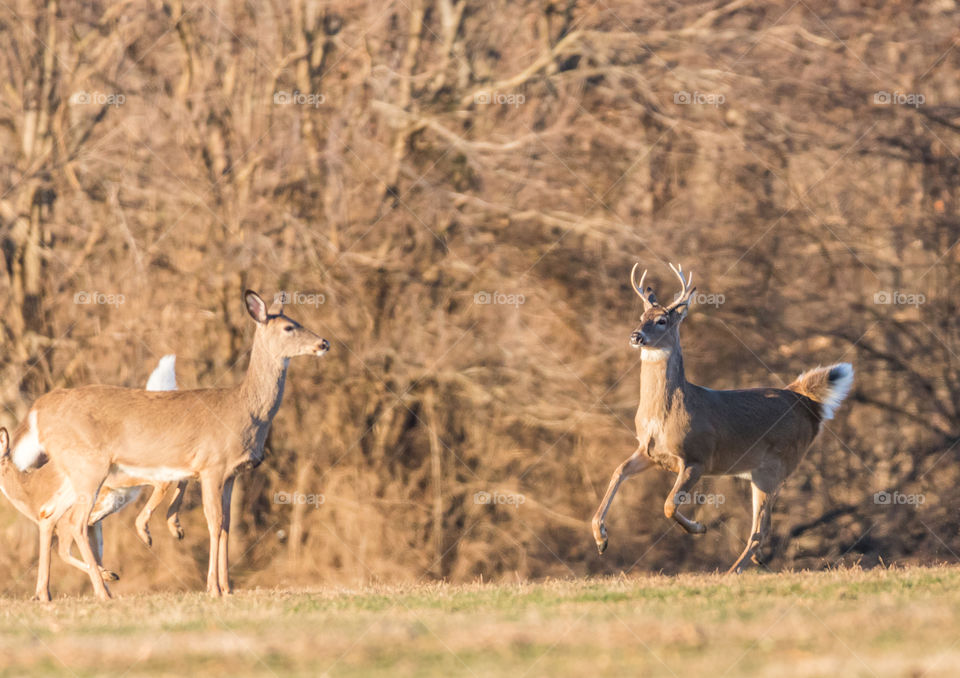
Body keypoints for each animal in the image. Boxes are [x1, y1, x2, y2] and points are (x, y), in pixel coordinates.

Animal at [0, 355, 186, 600]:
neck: (28, 492)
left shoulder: (67, 521)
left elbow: (64, 549)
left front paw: (105, 580)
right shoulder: (94, 524)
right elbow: (92, 551)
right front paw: (106, 582)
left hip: (119, 478)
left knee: (165, 479)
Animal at [591, 263, 854, 573]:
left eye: (662, 321)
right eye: (641, 317)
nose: (635, 336)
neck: (663, 415)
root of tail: (805, 401)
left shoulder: (698, 458)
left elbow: (668, 505)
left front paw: (699, 527)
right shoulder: (649, 451)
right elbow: (618, 471)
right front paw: (601, 539)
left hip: (775, 466)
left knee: (761, 529)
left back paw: (733, 570)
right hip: (759, 470)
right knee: (762, 528)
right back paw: (752, 561)